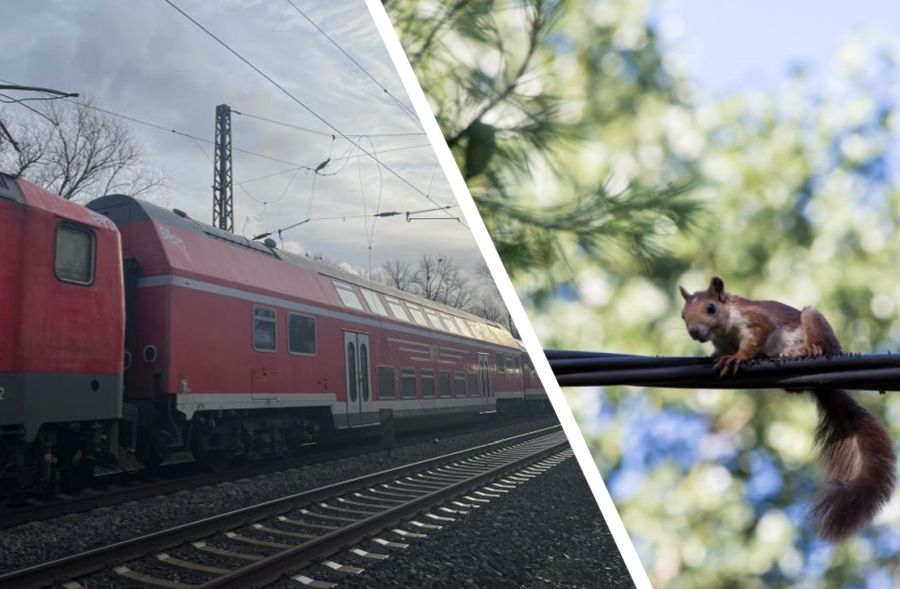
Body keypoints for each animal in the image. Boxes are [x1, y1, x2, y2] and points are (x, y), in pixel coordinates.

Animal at [680, 278, 896, 540]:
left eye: (711, 308)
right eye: (683, 315)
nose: (694, 332)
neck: (724, 332)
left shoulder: (756, 320)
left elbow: (754, 340)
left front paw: (738, 357)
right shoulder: (721, 344)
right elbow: (718, 353)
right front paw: (711, 357)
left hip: (816, 325)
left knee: (819, 337)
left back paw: (810, 350)